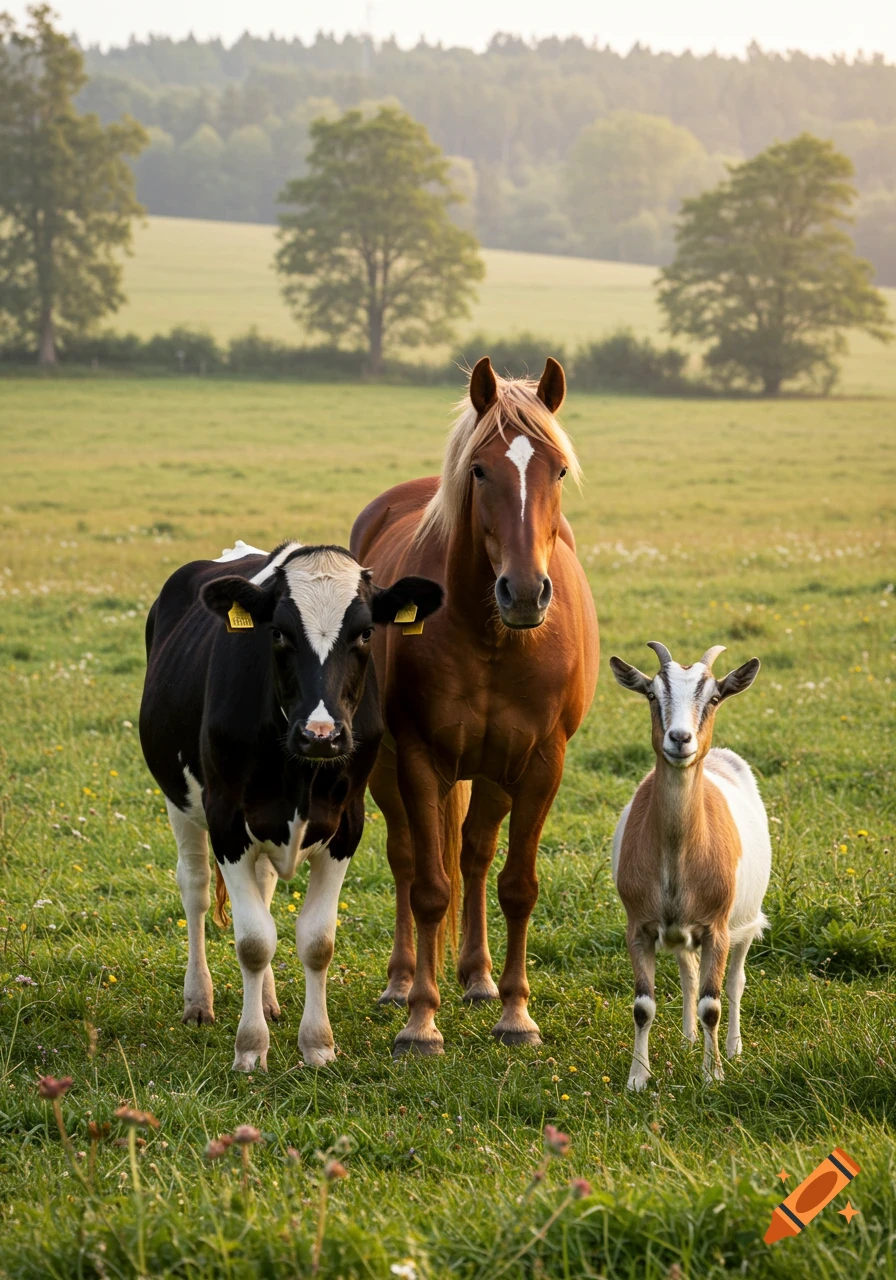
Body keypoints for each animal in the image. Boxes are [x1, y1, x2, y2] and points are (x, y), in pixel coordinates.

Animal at [139, 540, 443, 1070]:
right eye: (277, 632)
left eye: (366, 632)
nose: (321, 734)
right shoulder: (227, 821)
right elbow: (253, 942)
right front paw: (249, 1048)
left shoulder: (348, 825)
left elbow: (316, 941)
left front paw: (318, 1045)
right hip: (180, 797)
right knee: (195, 889)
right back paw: (199, 999)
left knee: (261, 891)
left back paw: (266, 1000)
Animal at [350, 357, 599, 1056]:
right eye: (481, 470)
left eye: (558, 470)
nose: (525, 592)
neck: (491, 634)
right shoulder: (418, 759)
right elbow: (430, 889)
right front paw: (420, 1022)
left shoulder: (541, 763)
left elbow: (517, 885)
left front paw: (516, 1013)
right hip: (389, 770)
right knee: (409, 859)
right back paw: (402, 982)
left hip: (493, 772)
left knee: (475, 854)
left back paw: (480, 977)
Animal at [609, 641, 771, 1089]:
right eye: (651, 694)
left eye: (714, 697)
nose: (680, 739)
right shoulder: (639, 926)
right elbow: (643, 1006)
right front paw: (637, 1078)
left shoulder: (716, 928)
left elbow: (711, 1004)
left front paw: (712, 1075)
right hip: (681, 931)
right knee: (689, 974)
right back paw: (687, 1040)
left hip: (744, 922)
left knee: (734, 984)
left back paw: (732, 1049)